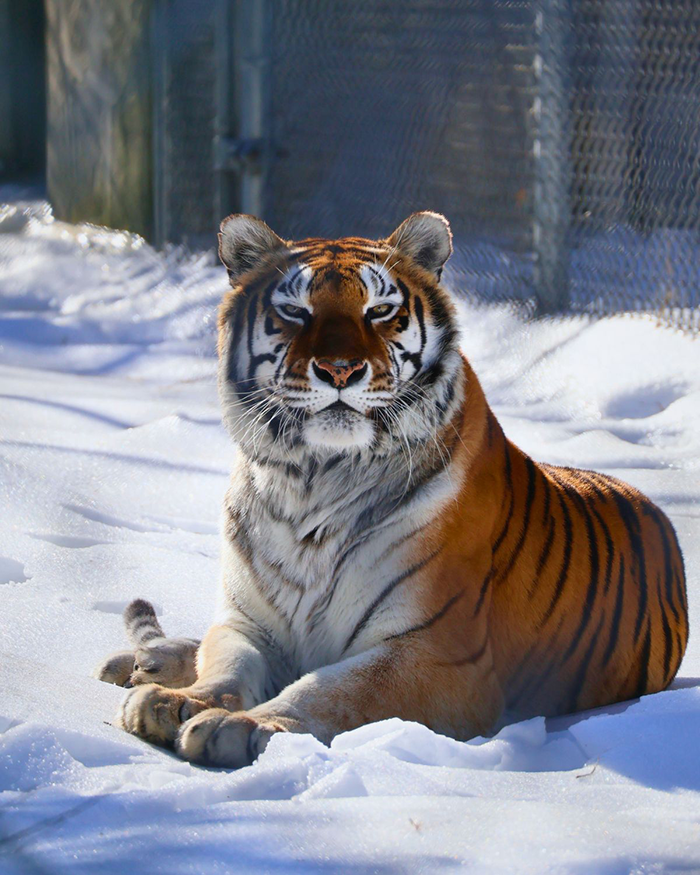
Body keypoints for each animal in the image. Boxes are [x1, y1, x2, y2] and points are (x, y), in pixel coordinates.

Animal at [107, 210, 688, 768]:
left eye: (379, 311)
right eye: (295, 312)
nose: (340, 370)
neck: (313, 480)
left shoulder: (442, 655)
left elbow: (331, 689)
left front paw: (242, 725)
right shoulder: (248, 622)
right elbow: (227, 666)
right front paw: (178, 702)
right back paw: (141, 663)